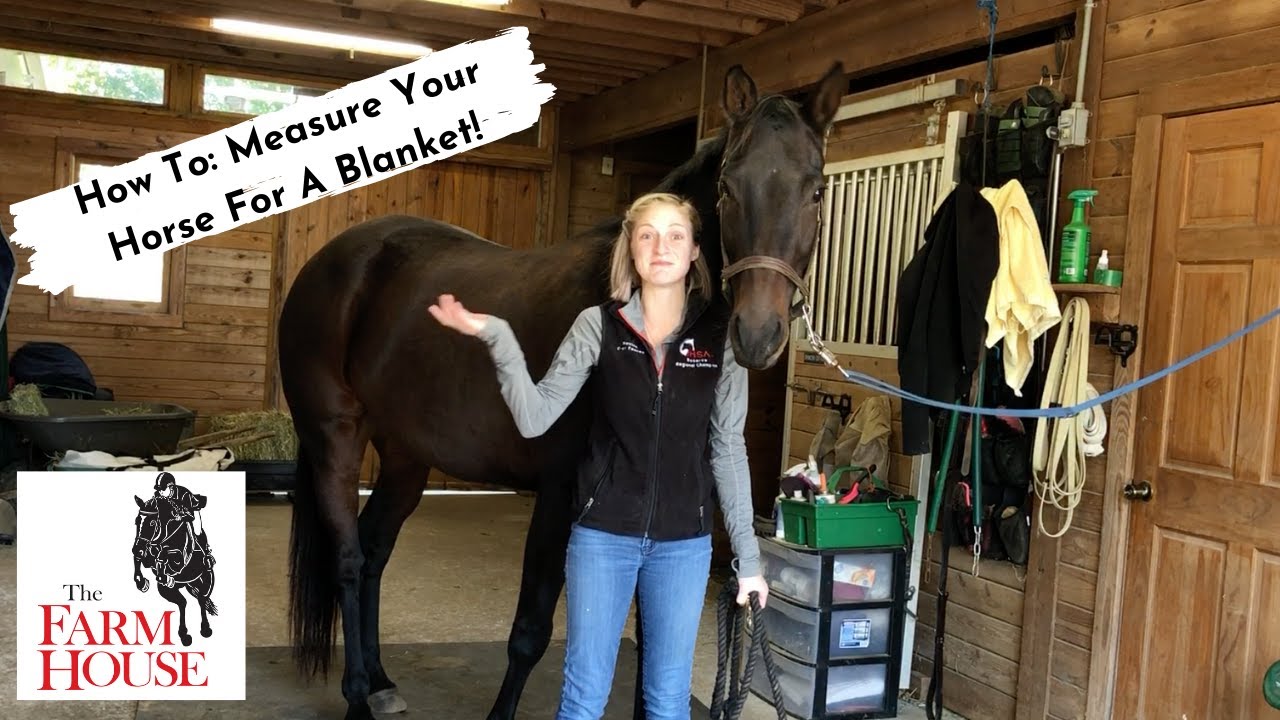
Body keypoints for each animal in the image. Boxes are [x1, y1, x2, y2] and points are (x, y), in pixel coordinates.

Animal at [131, 493, 219, 646]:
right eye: (137, 521)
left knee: (201, 599)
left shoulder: (180, 558)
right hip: (168, 589)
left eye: (152, 523)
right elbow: (141, 560)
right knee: (183, 602)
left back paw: (205, 629)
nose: (136, 549)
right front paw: (142, 582)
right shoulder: (148, 555)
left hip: (206, 579)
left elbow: (169, 556)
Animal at [279, 60, 848, 720]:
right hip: (336, 438)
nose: (757, 334)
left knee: (373, 551)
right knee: (347, 561)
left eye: (816, 191)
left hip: (405, 455)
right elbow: (530, 632)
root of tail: (331, 261)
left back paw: (379, 680)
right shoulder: (558, 496)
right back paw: (355, 697)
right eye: (729, 188)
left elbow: (654, 639)